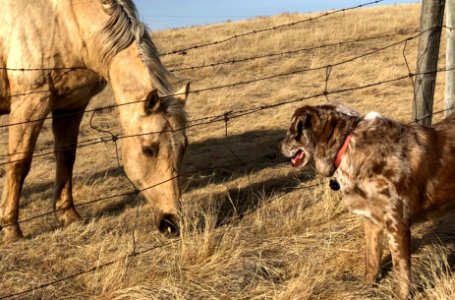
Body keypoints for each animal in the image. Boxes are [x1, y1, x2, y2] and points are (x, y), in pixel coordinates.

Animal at [0, 0, 189, 243]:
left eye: (183, 147)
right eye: (148, 150)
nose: (172, 223)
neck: (63, 21)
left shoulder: (72, 104)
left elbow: (66, 156)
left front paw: (68, 215)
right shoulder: (30, 103)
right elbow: (19, 164)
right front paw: (11, 229)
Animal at [280, 104, 455, 298]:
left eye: (291, 130)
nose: (280, 146)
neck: (347, 146)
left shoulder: (398, 226)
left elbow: (401, 272)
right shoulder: (371, 221)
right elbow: (371, 260)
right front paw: (366, 287)